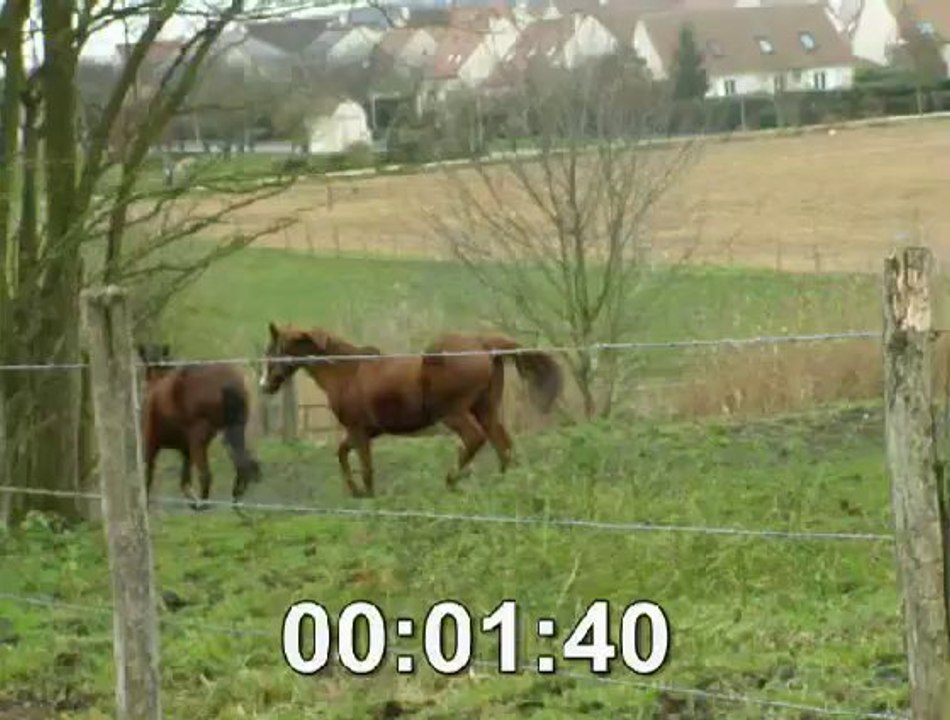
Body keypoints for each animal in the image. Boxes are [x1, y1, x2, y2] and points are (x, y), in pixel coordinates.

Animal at [137, 343, 262, 510]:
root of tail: (229, 382)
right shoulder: (185, 450)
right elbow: (184, 481)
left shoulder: (151, 444)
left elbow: (147, 477)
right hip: (233, 429)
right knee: (245, 464)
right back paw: (236, 498)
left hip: (199, 439)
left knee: (207, 475)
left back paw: (205, 504)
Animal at [258, 322, 563, 498]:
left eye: (272, 350)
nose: (264, 386)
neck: (347, 371)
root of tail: (485, 346)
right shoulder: (364, 431)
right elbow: (343, 454)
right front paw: (356, 491)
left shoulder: (358, 430)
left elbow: (365, 466)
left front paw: (367, 495)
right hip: (486, 409)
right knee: (503, 444)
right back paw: (504, 482)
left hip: (454, 413)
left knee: (476, 438)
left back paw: (451, 481)